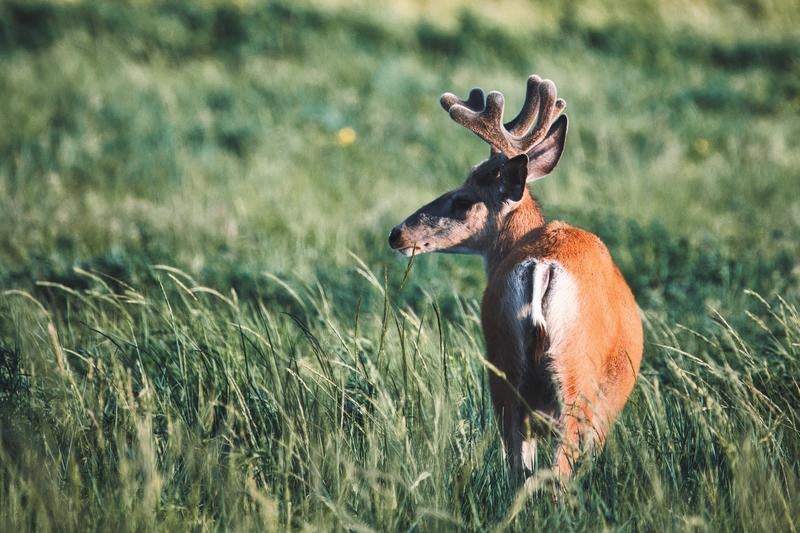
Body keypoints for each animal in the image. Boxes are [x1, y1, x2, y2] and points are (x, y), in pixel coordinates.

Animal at [388, 74, 644, 482]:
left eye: (463, 200)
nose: (397, 233)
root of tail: (543, 267)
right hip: (575, 377)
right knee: (557, 470)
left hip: (503, 363)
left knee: (517, 465)